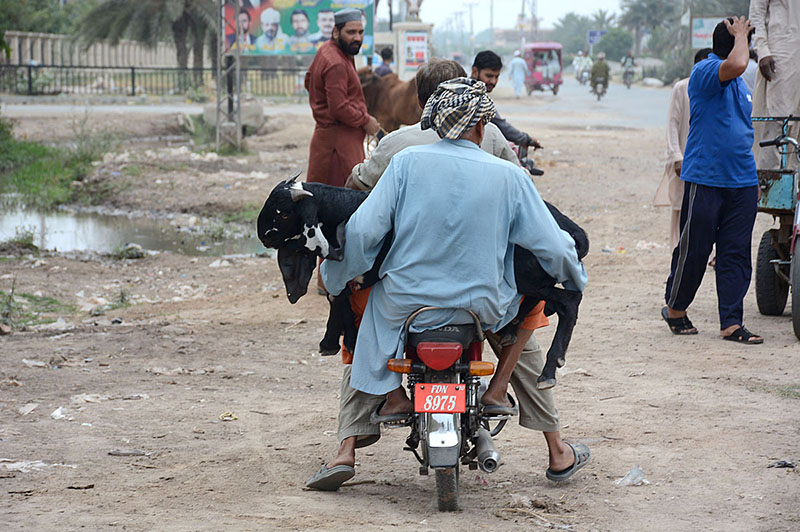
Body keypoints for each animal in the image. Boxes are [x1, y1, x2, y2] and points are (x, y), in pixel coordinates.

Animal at [258, 177, 588, 388]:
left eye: (284, 213)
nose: (263, 236)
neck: (351, 210)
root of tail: (568, 227)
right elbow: (337, 296)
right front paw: (334, 340)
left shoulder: (369, 271)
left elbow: (340, 294)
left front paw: (341, 339)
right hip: (528, 280)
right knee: (544, 301)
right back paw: (512, 329)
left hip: (527, 276)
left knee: (569, 302)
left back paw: (549, 369)